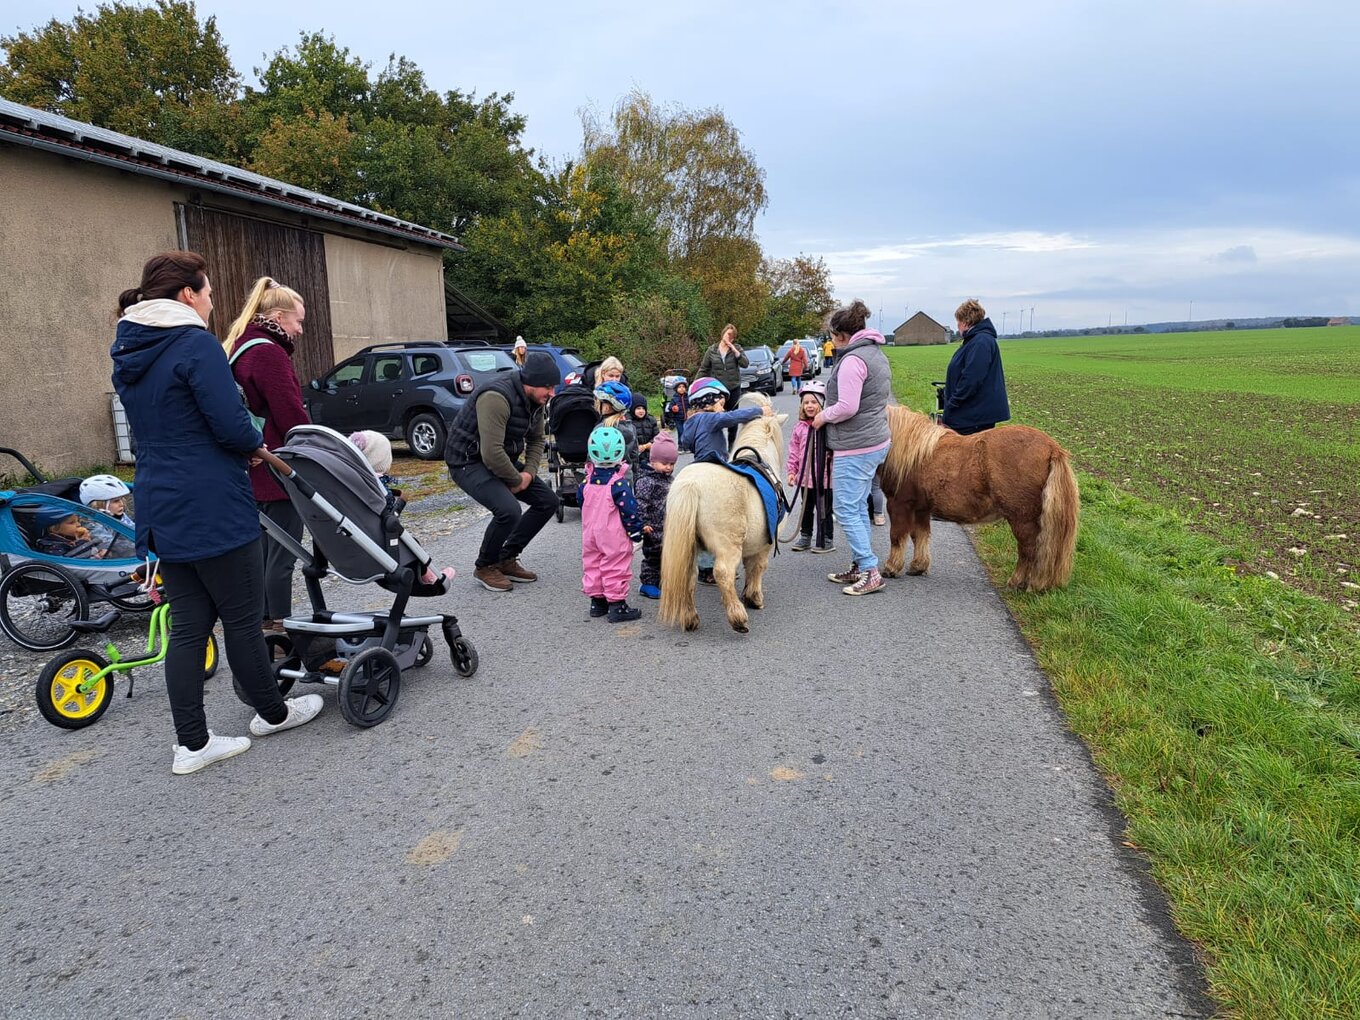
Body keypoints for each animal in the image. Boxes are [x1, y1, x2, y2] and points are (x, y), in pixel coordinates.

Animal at [655, 394, 788, 636]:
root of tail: (691, 485)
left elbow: (750, 566)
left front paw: (748, 593)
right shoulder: (766, 543)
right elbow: (758, 567)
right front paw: (754, 598)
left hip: (690, 547)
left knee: (689, 577)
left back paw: (690, 619)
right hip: (727, 547)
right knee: (723, 573)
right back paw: (738, 618)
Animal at [881, 405, 1082, 590]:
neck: (913, 453)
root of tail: (1052, 448)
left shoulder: (898, 504)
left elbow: (896, 536)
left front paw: (891, 568)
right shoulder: (921, 509)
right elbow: (919, 535)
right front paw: (918, 566)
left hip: (1022, 519)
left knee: (1028, 549)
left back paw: (1017, 583)